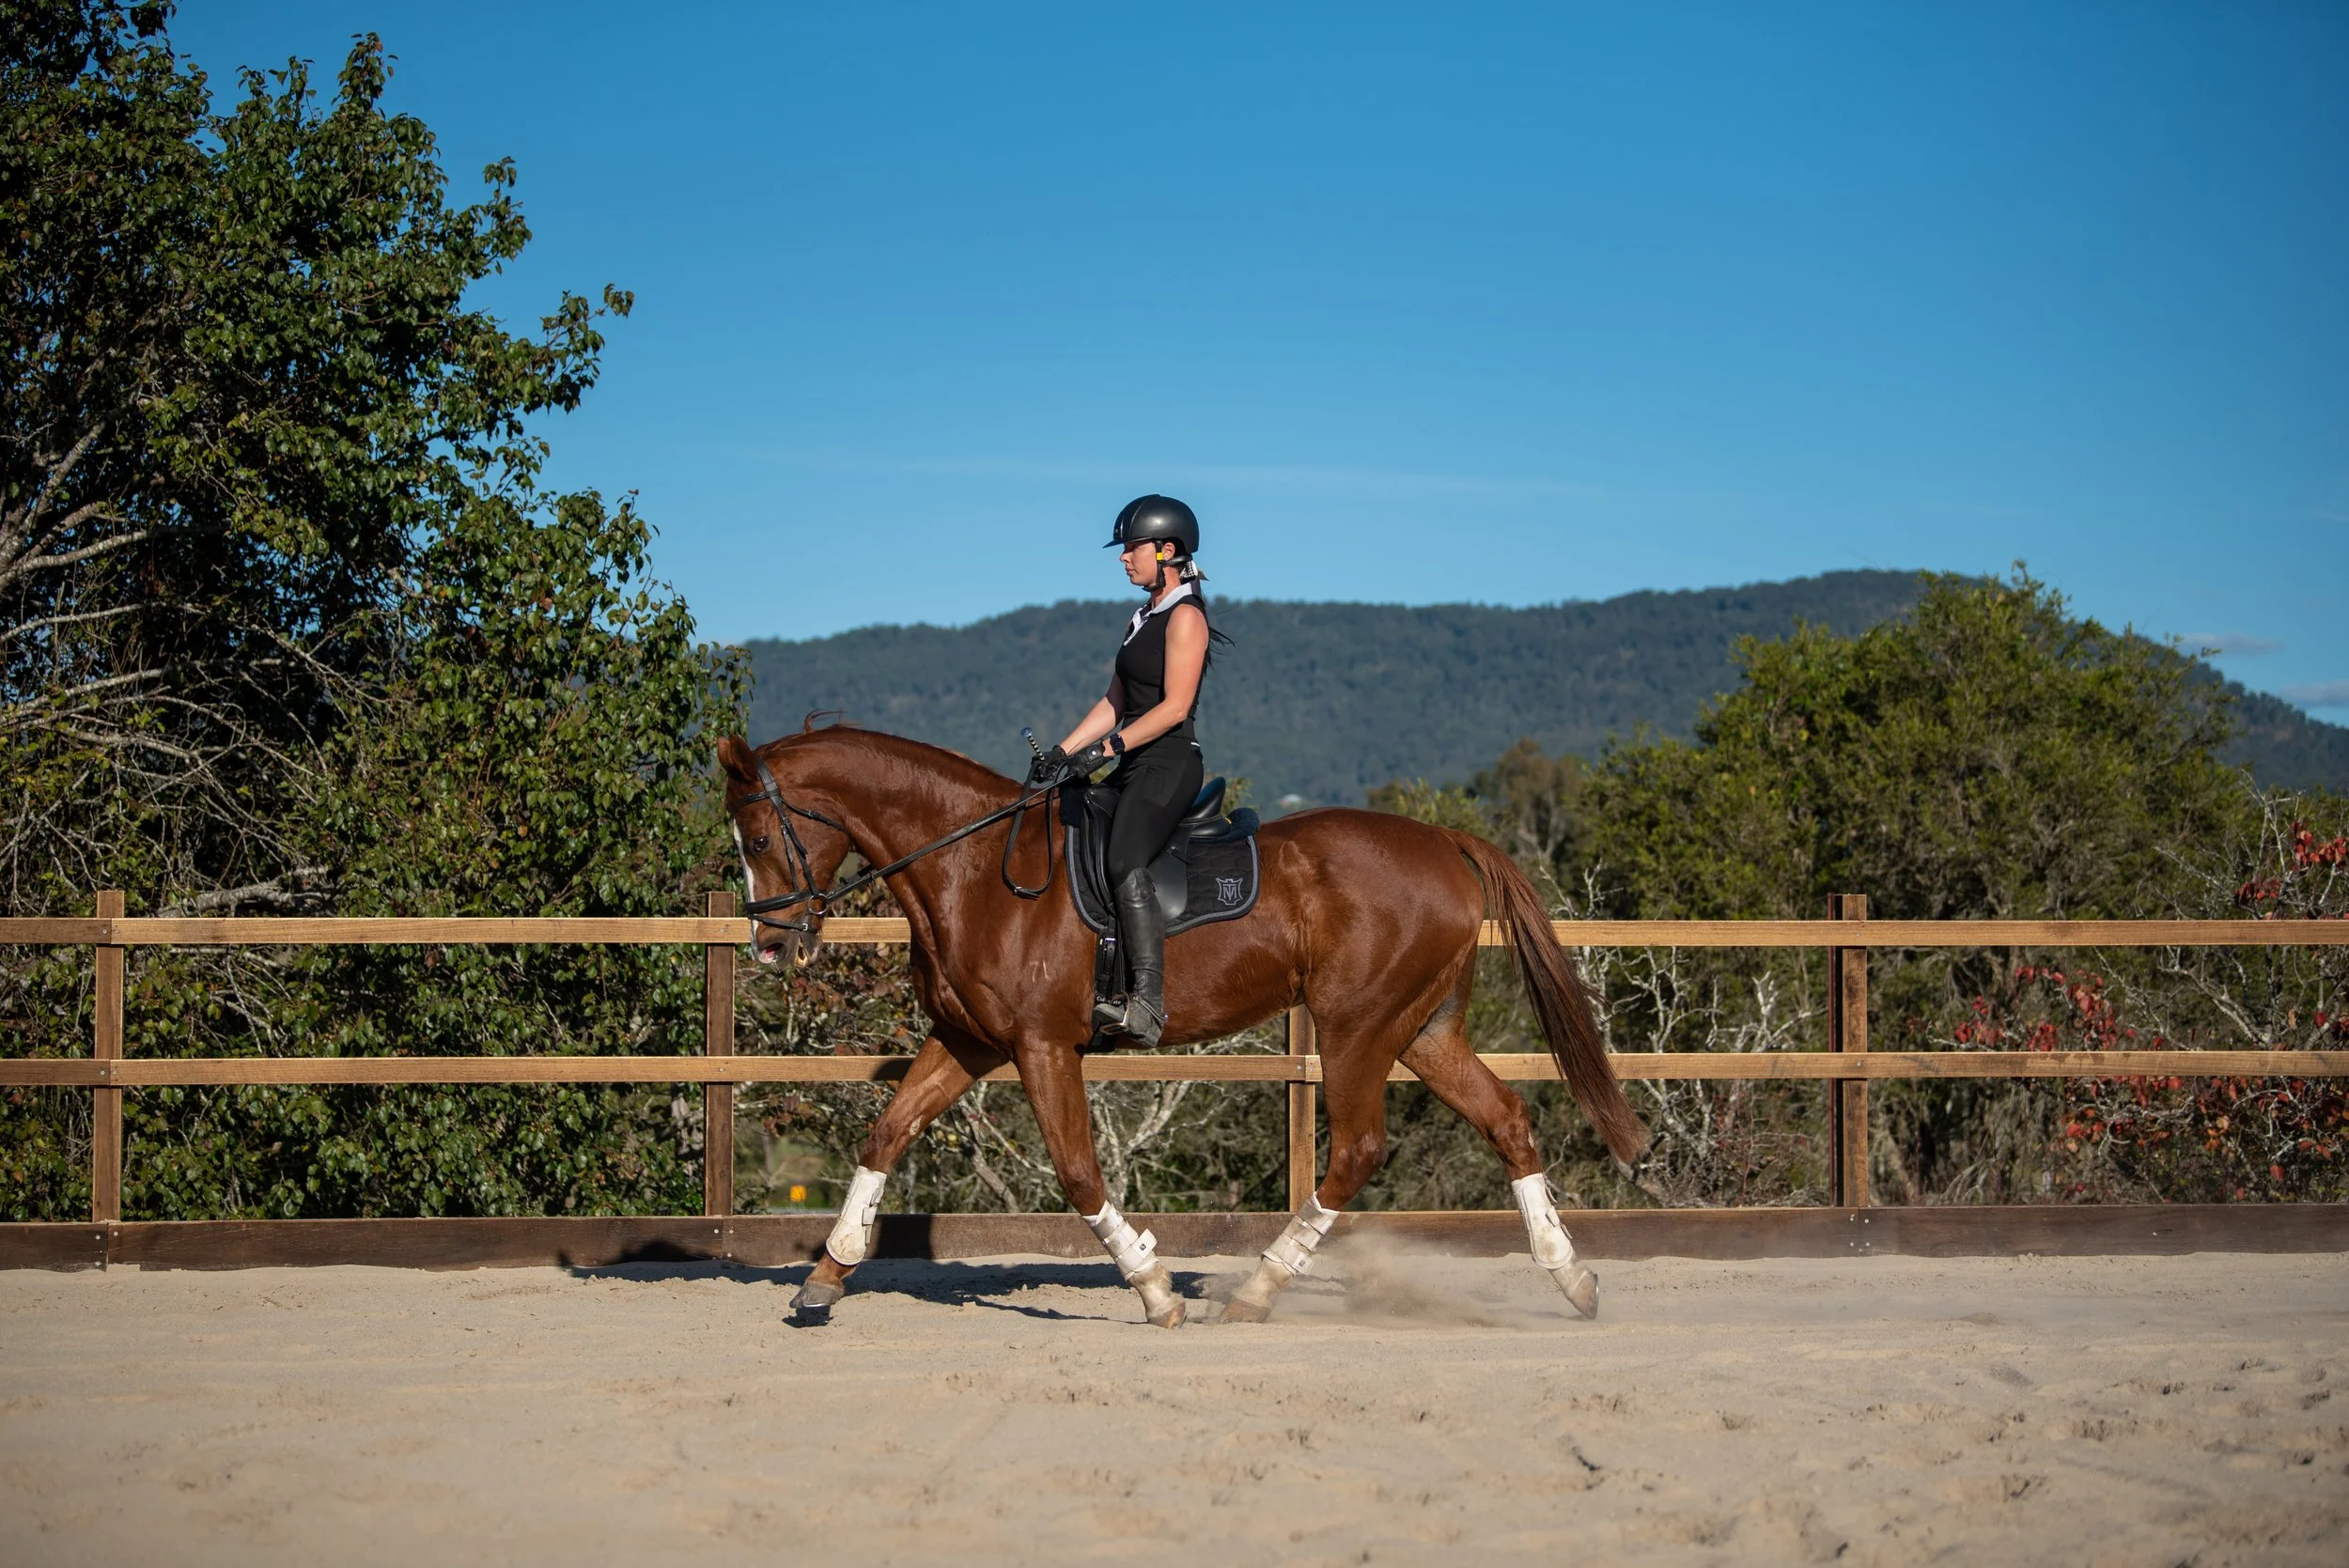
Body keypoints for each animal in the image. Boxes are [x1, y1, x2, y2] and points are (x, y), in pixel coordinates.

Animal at [717, 723, 1645, 1328]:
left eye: (758, 835)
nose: (769, 945)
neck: (971, 867)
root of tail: (1444, 840)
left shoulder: (1040, 1045)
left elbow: (1078, 1171)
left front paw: (1155, 1288)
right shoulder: (970, 1040)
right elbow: (886, 1132)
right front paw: (826, 1275)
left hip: (1356, 1030)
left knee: (1357, 1151)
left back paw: (1259, 1290)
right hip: (1422, 1032)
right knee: (1507, 1119)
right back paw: (1572, 1279)